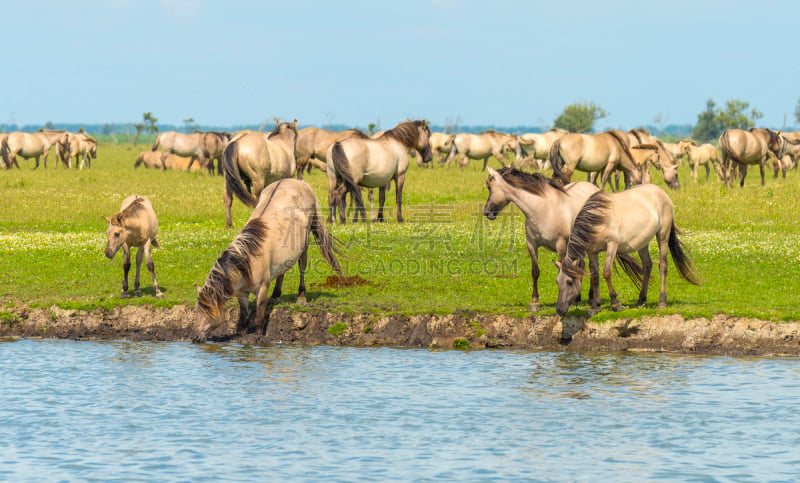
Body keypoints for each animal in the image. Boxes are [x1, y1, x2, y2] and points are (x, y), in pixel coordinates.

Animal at [196, 178, 344, 340]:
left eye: (207, 311)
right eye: (197, 310)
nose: (195, 337)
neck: (249, 260)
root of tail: (301, 183)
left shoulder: (262, 288)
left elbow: (259, 316)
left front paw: (259, 336)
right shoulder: (242, 293)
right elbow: (244, 316)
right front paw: (241, 335)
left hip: (304, 244)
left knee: (302, 266)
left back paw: (301, 296)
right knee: (282, 271)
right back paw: (275, 295)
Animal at [482, 165, 600, 310]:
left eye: (489, 188)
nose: (486, 212)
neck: (543, 210)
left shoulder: (561, 246)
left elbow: (563, 271)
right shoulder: (532, 245)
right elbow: (535, 271)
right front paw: (534, 301)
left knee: (590, 267)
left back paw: (589, 297)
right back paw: (577, 298)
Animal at [556, 183, 700, 316]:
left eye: (570, 282)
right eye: (557, 282)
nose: (559, 310)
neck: (598, 220)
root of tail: (661, 192)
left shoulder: (612, 245)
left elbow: (606, 272)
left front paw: (615, 304)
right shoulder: (592, 251)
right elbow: (595, 276)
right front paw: (595, 307)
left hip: (663, 235)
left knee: (663, 266)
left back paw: (662, 302)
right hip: (643, 242)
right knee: (647, 265)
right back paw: (641, 300)